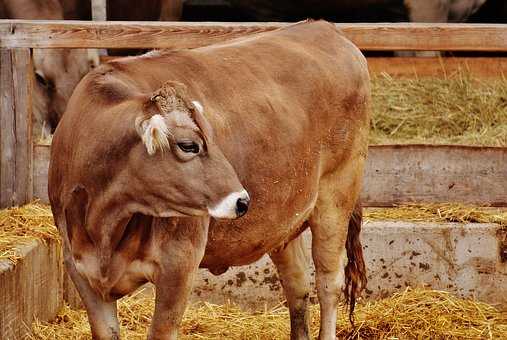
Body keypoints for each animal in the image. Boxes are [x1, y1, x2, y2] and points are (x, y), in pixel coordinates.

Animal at [49, 19, 372, 338]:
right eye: (188, 145)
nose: (242, 201)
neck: (105, 226)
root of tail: (323, 27)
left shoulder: (179, 263)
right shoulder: (79, 266)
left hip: (336, 198)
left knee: (329, 284)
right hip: (283, 219)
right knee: (298, 284)